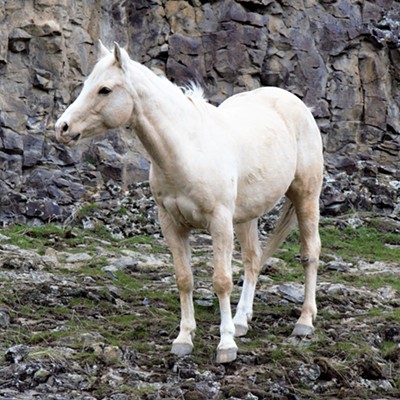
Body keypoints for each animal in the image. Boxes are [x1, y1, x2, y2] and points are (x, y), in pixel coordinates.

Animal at [56, 42, 324, 364]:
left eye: (105, 89)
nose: (62, 127)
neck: (187, 149)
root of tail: (297, 105)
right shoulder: (172, 224)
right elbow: (184, 279)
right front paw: (184, 339)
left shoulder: (219, 223)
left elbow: (221, 280)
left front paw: (226, 346)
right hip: (247, 216)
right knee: (253, 260)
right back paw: (241, 321)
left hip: (305, 196)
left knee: (309, 254)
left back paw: (304, 322)